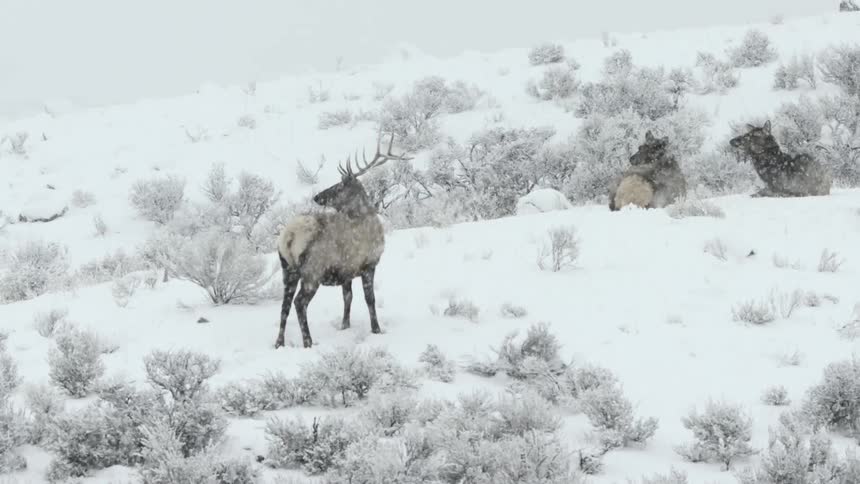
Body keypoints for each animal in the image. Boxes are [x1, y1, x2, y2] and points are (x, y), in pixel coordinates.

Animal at [274, 133, 410, 349]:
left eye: (339, 187)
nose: (317, 196)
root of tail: (289, 237)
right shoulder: (369, 264)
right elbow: (370, 299)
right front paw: (376, 329)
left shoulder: (347, 271)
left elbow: (348, 298)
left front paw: (345, 326)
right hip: (313, 272)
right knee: (299, 303)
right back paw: (308, 342)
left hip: (287, 269)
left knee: (284, 306)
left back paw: (279, 343)